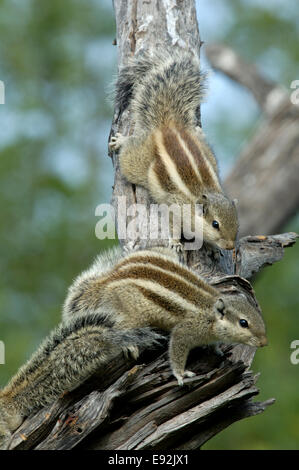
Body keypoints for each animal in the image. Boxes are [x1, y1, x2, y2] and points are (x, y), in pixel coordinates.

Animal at [0, 246, 268, 448]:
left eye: (258, 316)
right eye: (243, 323)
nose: (264, 342)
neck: (212, 311)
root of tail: (106, 282)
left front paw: (218, 350)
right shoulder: (185, 330)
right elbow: (177, 350)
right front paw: (182, 375)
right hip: (129, 314)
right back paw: (130, 345)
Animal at [110, 49, 239, 252]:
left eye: (237, 223)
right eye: (215, 224)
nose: (230, 247)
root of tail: (168, 126)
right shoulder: (174, 208)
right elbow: (172, 226)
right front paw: (175, 243)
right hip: (137, 159)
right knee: (130, 150)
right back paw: (121, 141)